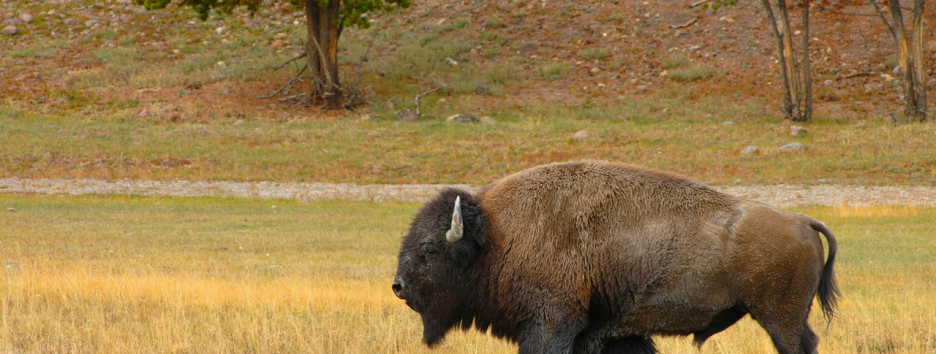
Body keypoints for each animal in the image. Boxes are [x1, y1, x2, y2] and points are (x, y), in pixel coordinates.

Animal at [392, 161, 836, 354]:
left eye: (429, 249)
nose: (398, 286)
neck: (498, 236)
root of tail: (801, 220)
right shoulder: (612, 334)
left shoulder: (550, 327)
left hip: (780, 319)